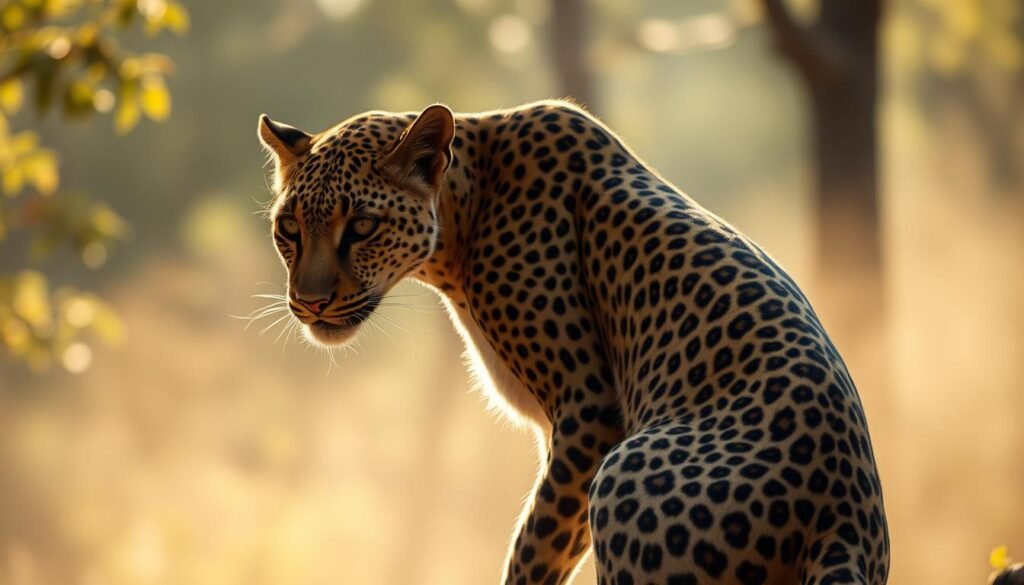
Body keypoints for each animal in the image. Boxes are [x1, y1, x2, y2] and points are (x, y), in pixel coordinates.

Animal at [256, 100, 889, 585]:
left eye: (362, 226)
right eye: (289, 229)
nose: (310, 302)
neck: (464, 210)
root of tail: (840, 528)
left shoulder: (589, 414)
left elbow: (535, 548)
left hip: (625, 473)